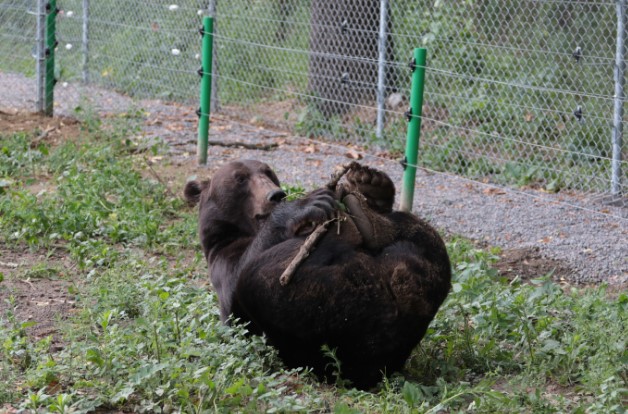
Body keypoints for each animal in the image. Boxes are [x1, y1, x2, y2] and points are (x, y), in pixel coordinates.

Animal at [183, 158, 452, 388]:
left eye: (268, 172)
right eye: (240, 178)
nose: (276, 194)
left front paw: (371, 183)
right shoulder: (225, 262)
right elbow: (239, 276)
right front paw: (306, 204)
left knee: (418, 233)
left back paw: (369, 218)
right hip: (312, 317)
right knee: (259, 281)